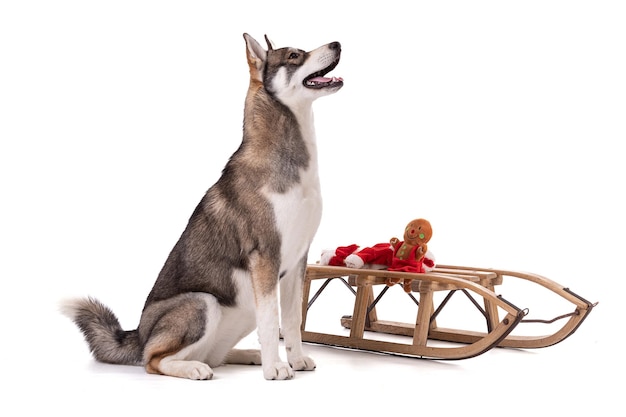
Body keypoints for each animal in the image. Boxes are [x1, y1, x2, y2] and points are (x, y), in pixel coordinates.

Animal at [61, 34, 344, 378]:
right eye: (293, 56)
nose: (337, 43)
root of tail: (138, 334)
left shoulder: (297, 260)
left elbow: (290, 320)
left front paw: (295, 360)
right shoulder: (265, 256)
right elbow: (271, 321)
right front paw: (275, 368)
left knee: (213, 355)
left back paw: (244, 354)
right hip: (202, 302)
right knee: (153, 361)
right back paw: (195, 368)